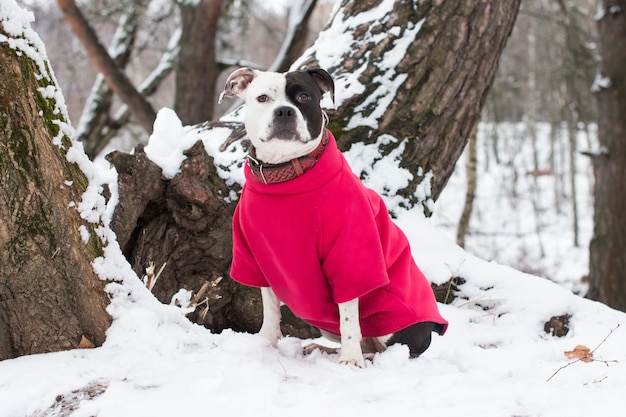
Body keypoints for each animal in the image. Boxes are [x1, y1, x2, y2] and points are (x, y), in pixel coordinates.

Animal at [217, 66, 446, 366]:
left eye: (304, 96)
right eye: (263, 98)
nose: (284, 111)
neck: (286, 176)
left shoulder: (350, 257)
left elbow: (348, 316)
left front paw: (350, 360)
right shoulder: (256, 256)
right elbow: (270, 307)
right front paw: (265, 344)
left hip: (393, 322)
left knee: (392, 349)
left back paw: (362, 356)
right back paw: (323, 348)